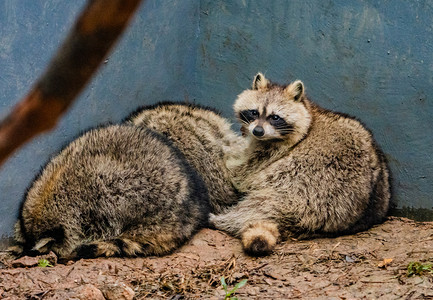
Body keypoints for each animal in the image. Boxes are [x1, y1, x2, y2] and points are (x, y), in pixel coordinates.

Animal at [210, 72, 392, 255]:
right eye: (254, 112)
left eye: (275, 117)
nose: (258, 131)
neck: (310, 114)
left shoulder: (274, 153)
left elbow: (240, 175)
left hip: (309, 187)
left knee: (260, 204)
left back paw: (221, 219)